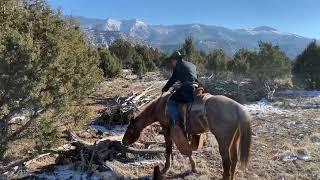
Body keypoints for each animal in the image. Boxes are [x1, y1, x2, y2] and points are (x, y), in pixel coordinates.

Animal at [122, 92, 252, 179]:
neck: (160, 106)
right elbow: (187, 150)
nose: (123, 142)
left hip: (223, 141)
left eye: (129, 130)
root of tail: (238, 108)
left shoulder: (167, 129)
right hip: (234, 140)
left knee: (227, 164)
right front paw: (193, 167)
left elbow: (169, 150)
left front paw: (165, 169)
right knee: (234, 160)